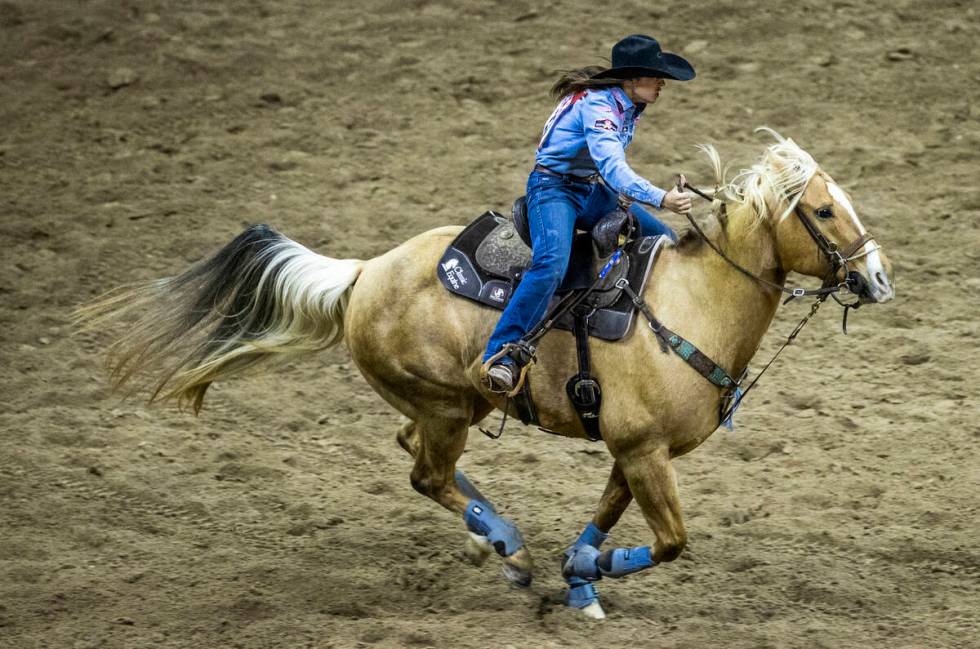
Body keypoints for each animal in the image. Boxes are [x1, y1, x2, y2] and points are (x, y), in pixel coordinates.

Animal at [78, 128, 896, 616]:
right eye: (824, 211)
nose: (879, 278)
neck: (690, 304)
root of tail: (365, 272)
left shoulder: (632, 451)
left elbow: (610, 518)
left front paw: (581, 574)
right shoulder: (642, 450)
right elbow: (670, 541)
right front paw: (580, 570)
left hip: (454, 405)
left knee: (412, 451)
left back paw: (490, 545)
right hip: (447, 408)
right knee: (424, 473)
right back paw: (506, 544)